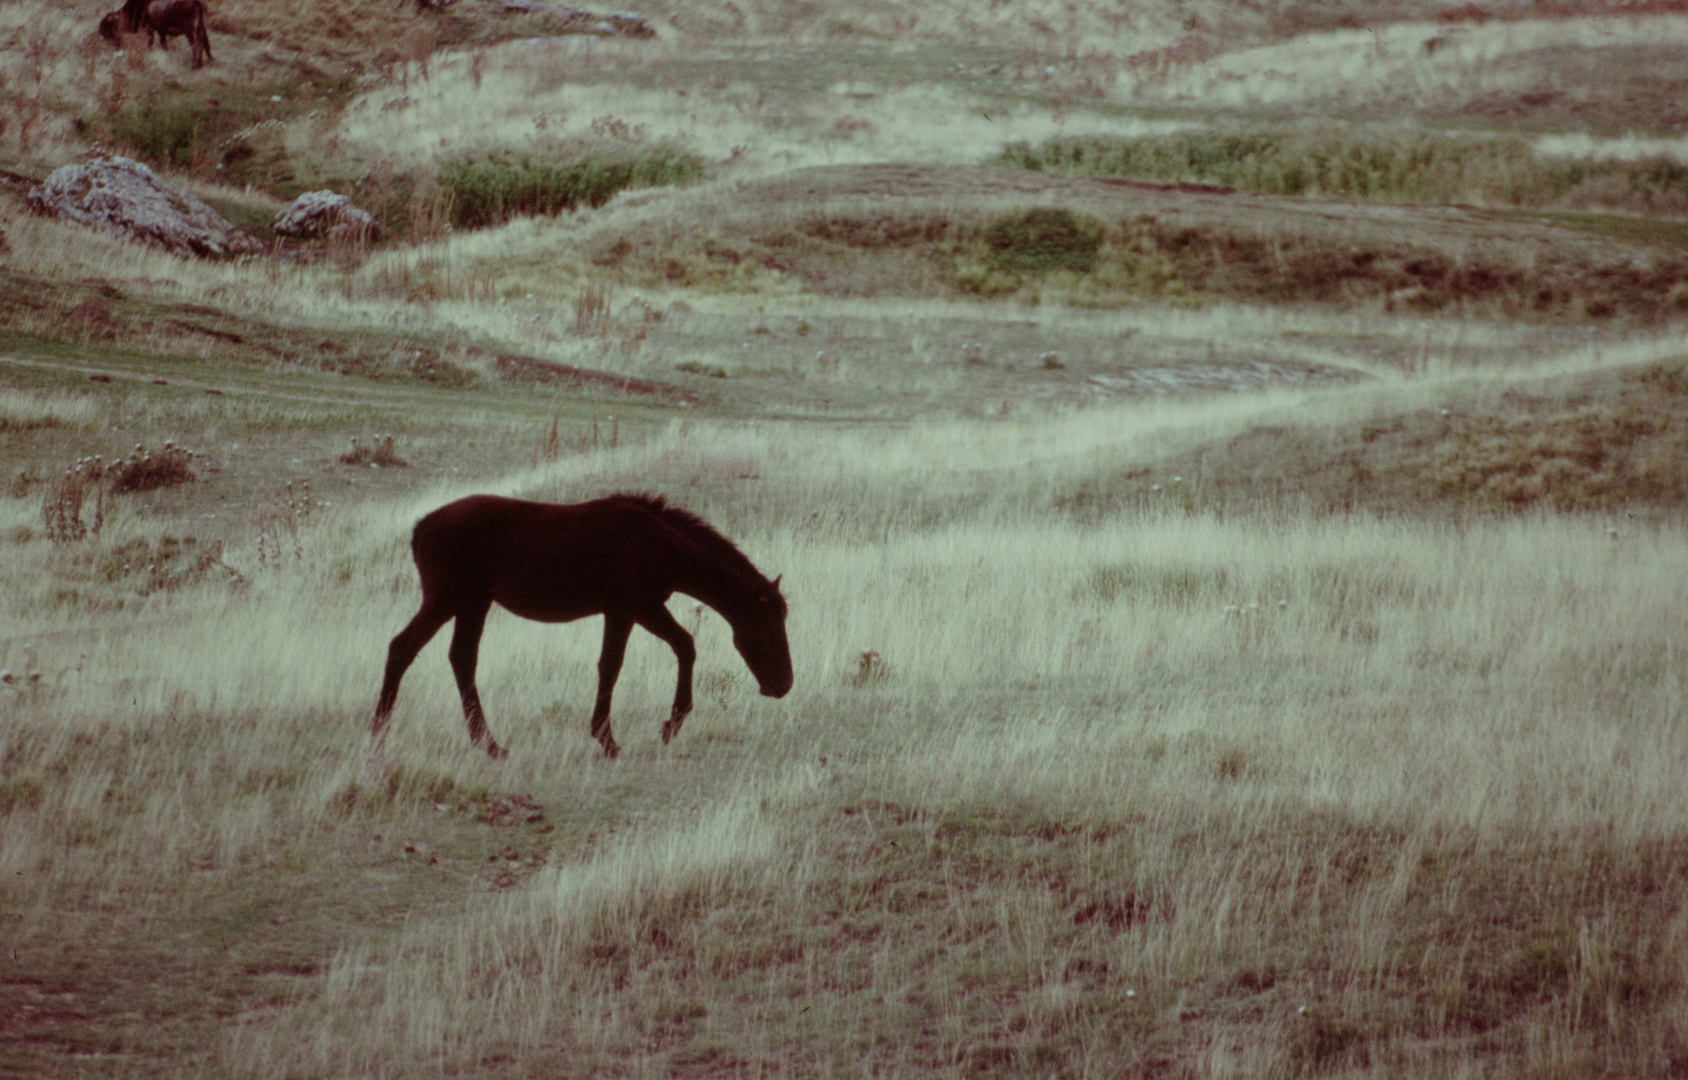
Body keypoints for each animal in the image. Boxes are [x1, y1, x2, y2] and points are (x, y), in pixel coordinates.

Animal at [371, 492, 789, 759]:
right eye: (769, 629)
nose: (783, 685)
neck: (660, 543)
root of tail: (423, 526)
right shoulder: (624, 609)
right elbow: (611, 665)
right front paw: (607, 739)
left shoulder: (647, 608)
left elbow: (685, 645)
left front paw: (672, 723)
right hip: (447, 601)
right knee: (402, 648)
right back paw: (378, 737)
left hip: (473, 604)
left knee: (461, 659)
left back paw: (489, 744)